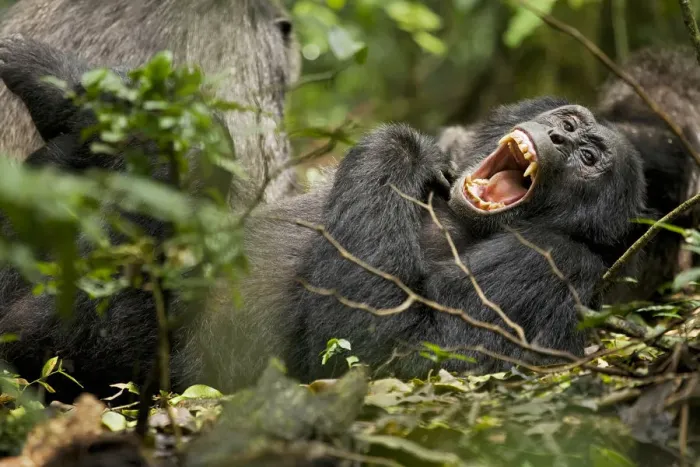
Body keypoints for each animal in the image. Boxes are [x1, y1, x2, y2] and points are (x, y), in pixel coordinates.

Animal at [0, 36, 648, 396]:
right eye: (568, 121)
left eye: (590, 159)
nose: (560, 139)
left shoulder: (553, 265)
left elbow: (392, 352)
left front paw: (402, 148)